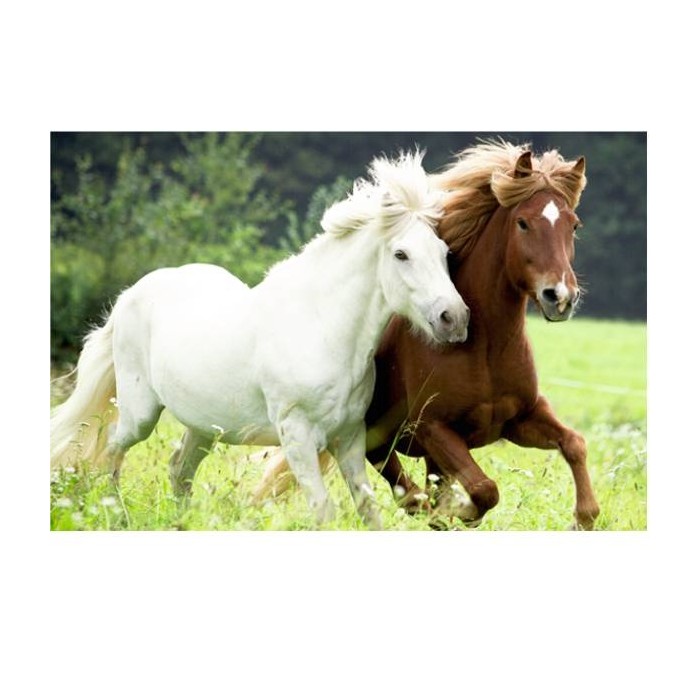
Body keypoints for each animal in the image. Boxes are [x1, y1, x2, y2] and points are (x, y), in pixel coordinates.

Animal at [50, 151, 469, 529]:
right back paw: (116, 516)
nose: (454, 318)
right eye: (401, 254)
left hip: (203, 425)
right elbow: (324, 511)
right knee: (110, 452)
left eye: (443, 252)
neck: (322, 329)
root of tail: (129, 296)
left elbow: (369, 510)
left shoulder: (350, 437)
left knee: (178, 468)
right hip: (140, 413)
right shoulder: (297, 437)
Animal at [253, 140, 600, 530]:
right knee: (408, 492)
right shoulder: (432, 429)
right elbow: (483, 490)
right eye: (523, 223)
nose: (560, 297)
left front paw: (582, 518)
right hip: (374, 441)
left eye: (574, 225)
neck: (485, 347)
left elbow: (575, 444)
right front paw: (459, 511)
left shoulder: (521, 418)